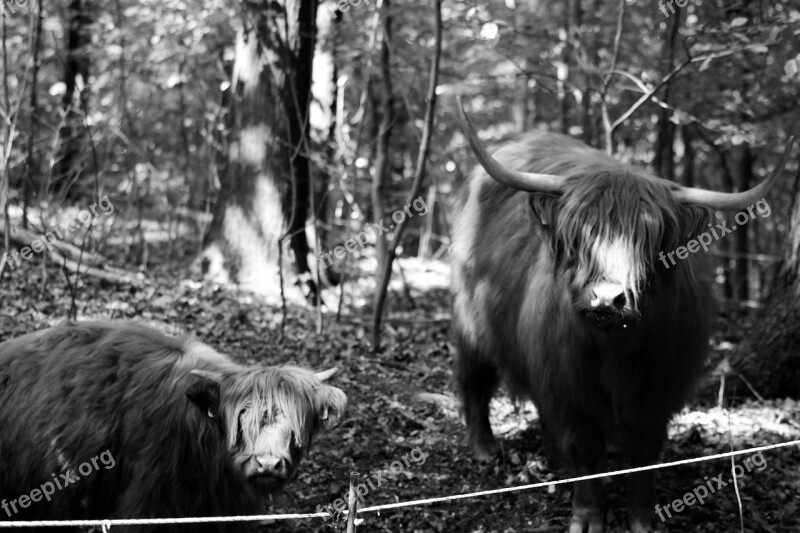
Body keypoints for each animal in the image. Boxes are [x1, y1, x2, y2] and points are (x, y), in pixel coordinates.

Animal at [454, 101, 792, 532]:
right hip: (472, 318)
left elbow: (644, 457)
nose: (605, 298)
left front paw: (643, 520)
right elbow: (583, 451)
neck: (614, 350)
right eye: (579, 237)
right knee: (474, 379)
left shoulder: (659, 389)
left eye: (648, 241)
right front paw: (587, 516)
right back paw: (484, 448)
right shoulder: (568, 386)